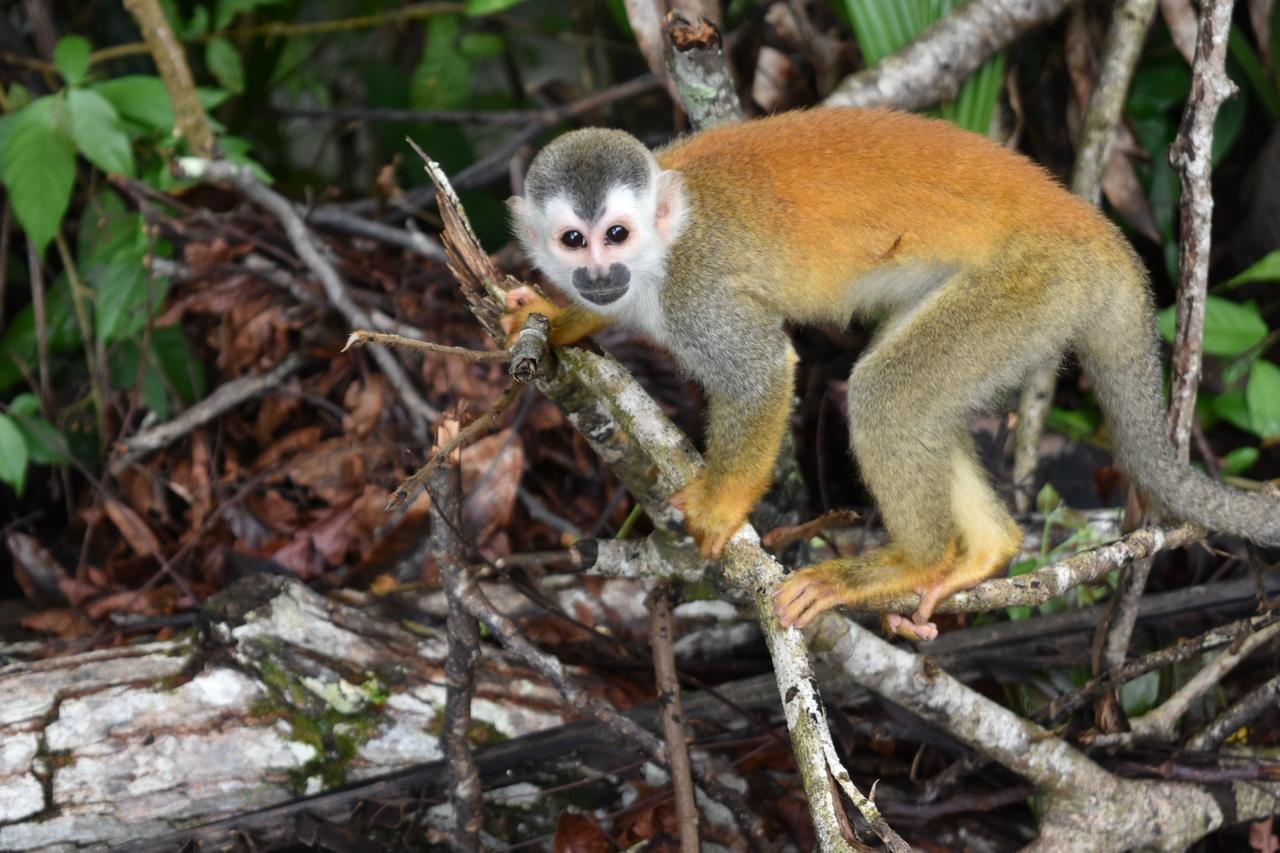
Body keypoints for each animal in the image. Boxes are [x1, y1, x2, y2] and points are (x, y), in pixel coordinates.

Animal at [501, 108, 1280, 637]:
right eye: (573, 240)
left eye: (617, 234)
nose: (599, 272)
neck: (657, 255)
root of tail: (1103, 236)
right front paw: (560, 316)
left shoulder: (695, 290)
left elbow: (761, 371)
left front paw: (724, 504)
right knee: (912, 400)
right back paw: (984, 552)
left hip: (1033, 284)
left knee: (886, 394)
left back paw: (912, 562)